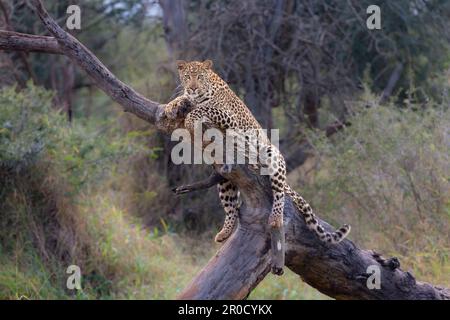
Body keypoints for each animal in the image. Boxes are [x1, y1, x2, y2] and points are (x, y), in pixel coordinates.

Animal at [165, 60, 352, 244]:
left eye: (200, 77)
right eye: (187, 76)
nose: (192, 88)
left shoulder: (229, 119)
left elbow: (202, 109)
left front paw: (190, 119)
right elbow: (184, 99)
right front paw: (171, 105)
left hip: (272, 155)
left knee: (279, 194)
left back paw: (275, 218)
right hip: (225, 176)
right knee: (231, 207)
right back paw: (224, 233)